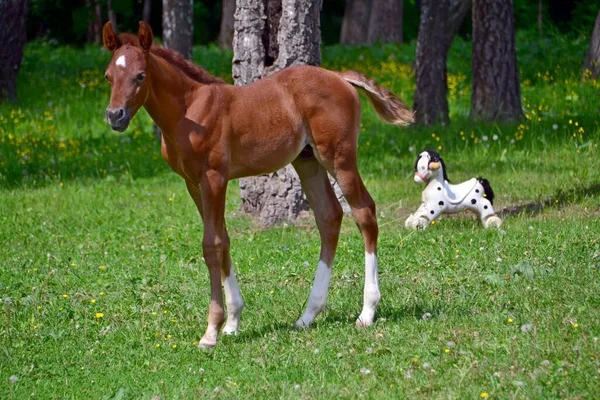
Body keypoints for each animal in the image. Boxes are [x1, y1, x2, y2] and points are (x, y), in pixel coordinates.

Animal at [102, 22, 412, 346]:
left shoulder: (213, 177)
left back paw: (367, 312)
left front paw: (211, 331)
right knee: (329, 216)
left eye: (141, 75)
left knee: (364, 212)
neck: (189, 109)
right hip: (307, 161)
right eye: (108, 76)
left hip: (339, 158)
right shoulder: (193, 184)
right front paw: (233, 321)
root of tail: (339, 76)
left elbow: (211, 244)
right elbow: (223, 239)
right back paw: (308, 315)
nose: (115, 116)